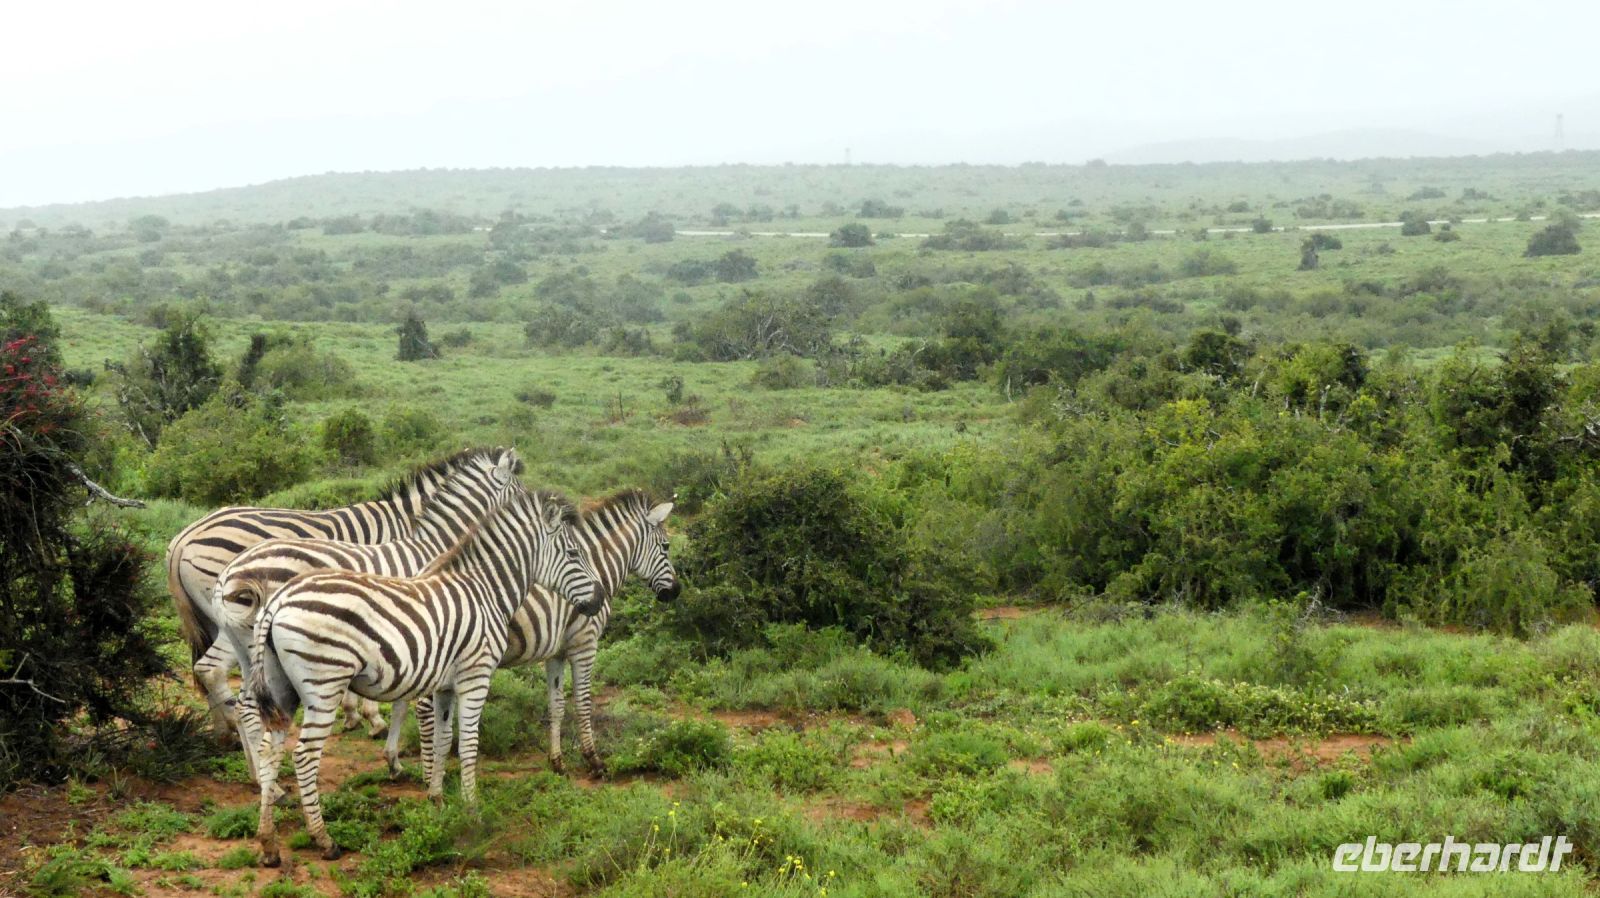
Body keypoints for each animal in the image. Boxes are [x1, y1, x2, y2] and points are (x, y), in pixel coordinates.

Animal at [214, 445, 522, 785]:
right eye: (520, 489)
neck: (435, 549)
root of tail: (228, 574)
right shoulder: (426, 637)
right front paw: (424, 769)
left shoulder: (414, 645)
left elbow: (401, 700)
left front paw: (393, 758)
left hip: (249, 653)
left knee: (244, 706)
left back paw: (259, 777)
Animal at [247, 480, 602, 865]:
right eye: (573, 553)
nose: (599, 599)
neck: (486, 590)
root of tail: (278, 601)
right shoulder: (475, 677)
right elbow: (469, 744)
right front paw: (472, 811)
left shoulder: (444, 686)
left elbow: (444, 741)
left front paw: (437, 800)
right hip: (324, 685)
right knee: (303, 756)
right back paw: (324, 840)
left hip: (283, 689)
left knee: (269, 751)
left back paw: (268, 843)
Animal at [385, 489, 679, 779]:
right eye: (666, 547)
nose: (676, 591)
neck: (596, 565)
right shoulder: (585, 643)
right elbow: (583, 703)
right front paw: (594, 761)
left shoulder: (556, 653)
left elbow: (557, 705)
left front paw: (557, 762)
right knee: (423, 710)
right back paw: (430, 775)